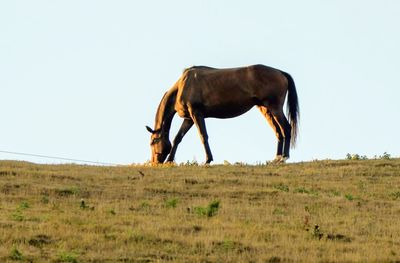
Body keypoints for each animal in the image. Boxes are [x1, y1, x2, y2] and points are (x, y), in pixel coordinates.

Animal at [145, 64, 298, 165]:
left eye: (153, 141)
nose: (154, 162)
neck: (183, 85)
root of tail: (280, 72)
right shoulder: (189, 119)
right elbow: (178, 138)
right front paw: (170, 160)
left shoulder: (196, 114)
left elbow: (203, 136)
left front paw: (208, 160)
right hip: (266, 110)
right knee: (278, 131)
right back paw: (276, 158)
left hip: (275, 108)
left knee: (286, 128)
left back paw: (284, 157)